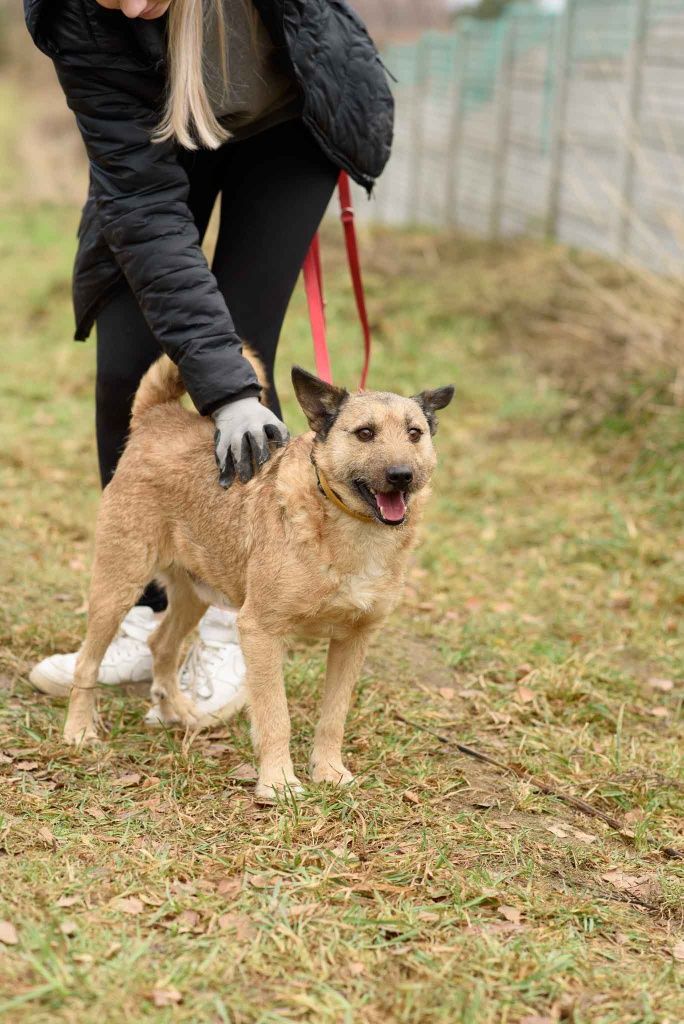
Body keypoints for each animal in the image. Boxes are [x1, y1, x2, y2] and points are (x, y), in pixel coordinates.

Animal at [62, 356, 448, 802]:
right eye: (365, 433)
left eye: (414, 433)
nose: (402, 475)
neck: (345, 528)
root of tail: (159, 416)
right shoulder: (260, 631)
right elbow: (275, 716)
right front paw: (278, 782)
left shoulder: (354, 640)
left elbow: (334, 715)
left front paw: (329, 770)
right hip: (118, 586)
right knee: (87, 664)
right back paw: (79, 731)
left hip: (195, 594)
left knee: (160, 644)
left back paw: (179, 712)